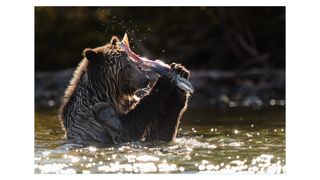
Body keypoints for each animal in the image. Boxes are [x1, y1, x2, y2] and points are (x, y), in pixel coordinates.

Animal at [58, 36, 190, 146]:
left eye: (134, 62)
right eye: (127, 66)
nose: (146, 80)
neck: (111, 95)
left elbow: (162, 130)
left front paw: (180, 71)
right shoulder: (91, 119)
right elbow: (131, 127)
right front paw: (164, 80)